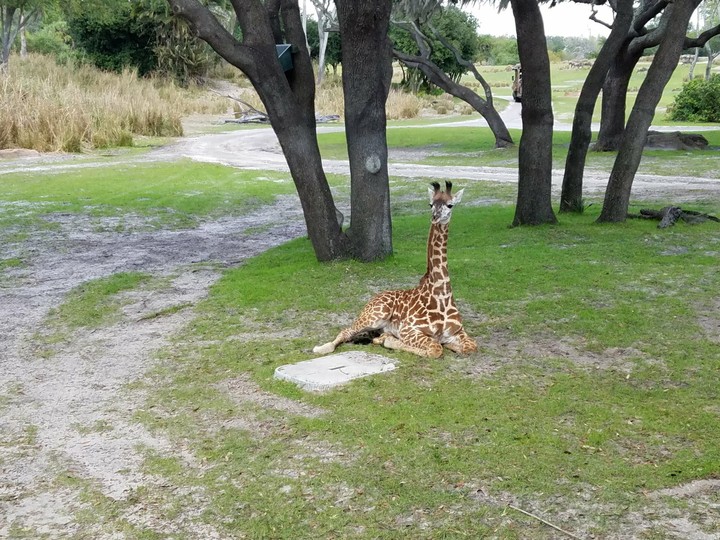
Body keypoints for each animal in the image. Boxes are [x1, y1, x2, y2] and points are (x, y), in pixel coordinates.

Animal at [313, 181, 478, 358]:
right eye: (431, 204)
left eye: (450, 205)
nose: (435, 217)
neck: (441, 295)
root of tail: (373, 298)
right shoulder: (408, 329)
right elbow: (435, 349)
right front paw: (392, 341)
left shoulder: (458, 332)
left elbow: (471, 347)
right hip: (375, 316)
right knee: (346, 331)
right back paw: (321, 348)